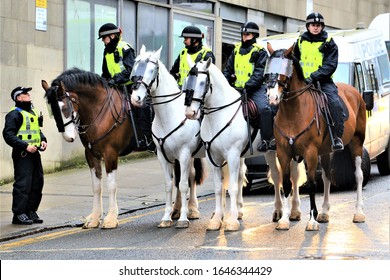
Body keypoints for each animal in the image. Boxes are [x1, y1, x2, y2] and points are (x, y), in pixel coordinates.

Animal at [41, 68, 140, 230]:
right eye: (52, 110)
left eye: (64, 108)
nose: (68, 137)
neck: (101, 110)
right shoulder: (91, 155)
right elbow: (96, 187)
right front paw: (94, 218)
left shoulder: (110, 153)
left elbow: (111, 186)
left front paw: (111, 218)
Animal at [130, 44, 207, 229]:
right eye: (135, 66)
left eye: (152, 69)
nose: (136, 98)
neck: (169, 115)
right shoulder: (164, 156)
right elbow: (169, 184)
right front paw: (167, 217)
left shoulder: (184, 154)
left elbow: (184, 185)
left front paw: (183, 219)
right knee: (189, 176)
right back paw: (182, 209)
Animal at [184, 58, 308, 231]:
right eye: (187, 80)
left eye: (202, 82)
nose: (190, 113)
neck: (220, 114)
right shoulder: (213, 158)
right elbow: (218, 188)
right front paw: (216, 220)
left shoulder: (233, 155)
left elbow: (233, 187)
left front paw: (232, 221)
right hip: (270, 152)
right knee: (277, 177)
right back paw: (278, 211)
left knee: (294, 177)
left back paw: (294, 212)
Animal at [266, 43, 368, 231]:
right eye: (268, 68)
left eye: (285, 70)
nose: (272, 96)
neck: (293, 112)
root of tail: (355, 92)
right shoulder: (283, 153)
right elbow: (286, 184)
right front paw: (284, 220)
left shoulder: (310, 153)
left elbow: (312, 185)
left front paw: (311, 221)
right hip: (326, 151)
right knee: (327, 176)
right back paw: (324, 212)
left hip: (357, 143)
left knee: (358, 176)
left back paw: (358, 213)